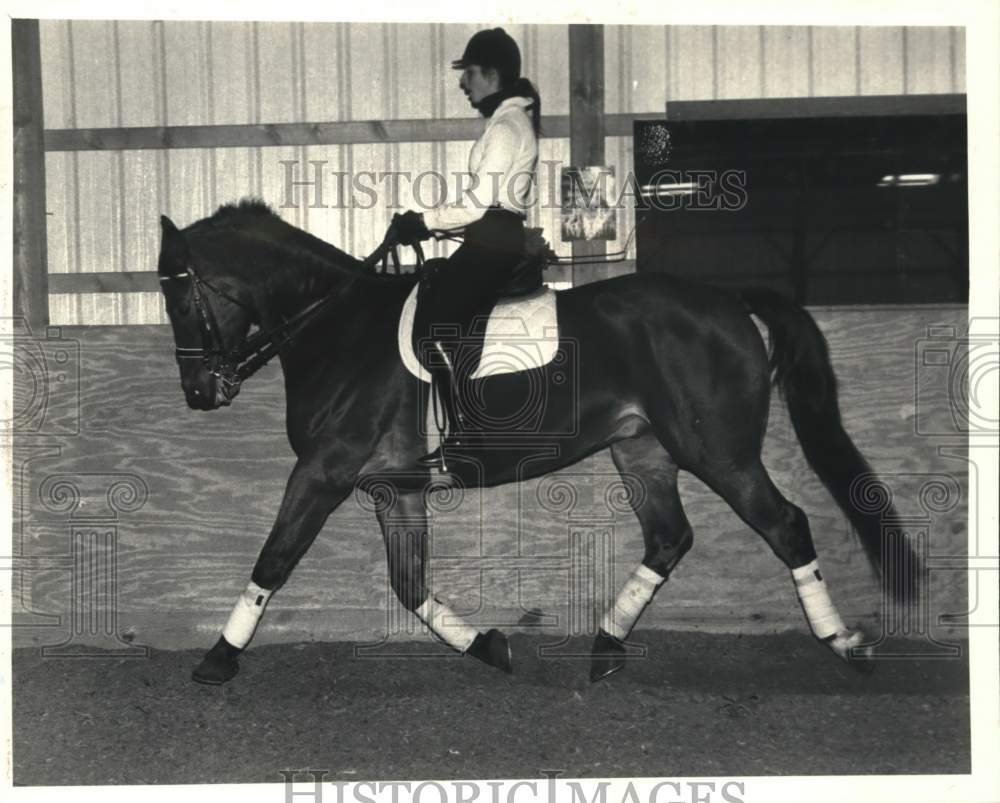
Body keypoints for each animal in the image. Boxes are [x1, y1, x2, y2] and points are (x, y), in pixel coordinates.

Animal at [156, 199, 916, 685]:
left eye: (180, 296)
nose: (200, 391)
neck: (335, 325)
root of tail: (729, 301)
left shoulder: (325, 470)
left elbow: (274, 558)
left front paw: (218, 657)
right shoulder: (391, 487)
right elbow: (410, 584)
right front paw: (490, 646)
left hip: (719, 452)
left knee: (785, 524)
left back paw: (843, 642)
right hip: (643, 449)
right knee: (669, 537)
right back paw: (605, 647)